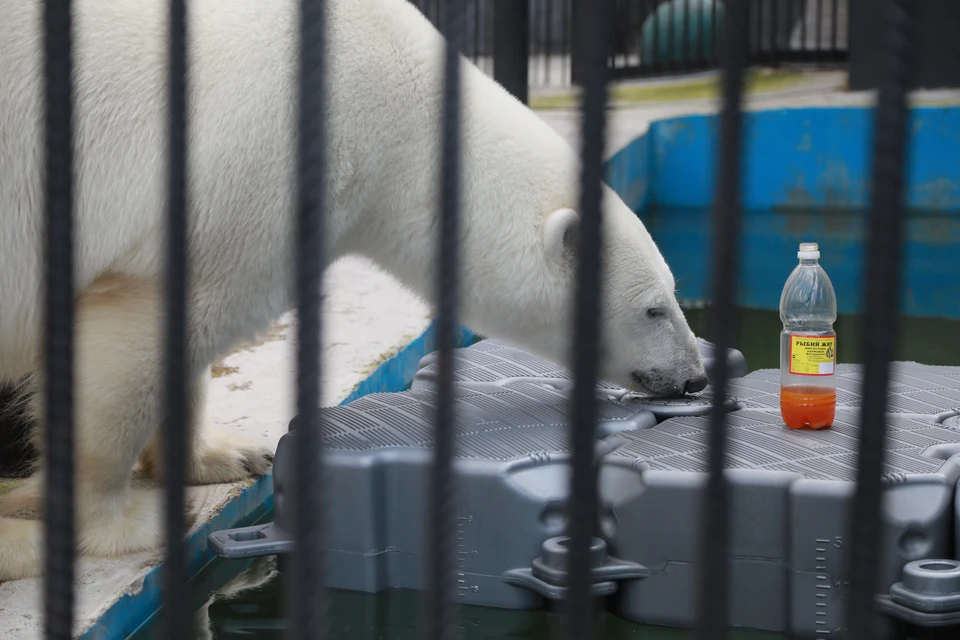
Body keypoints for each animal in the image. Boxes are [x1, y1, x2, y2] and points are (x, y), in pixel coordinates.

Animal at [0, 0, 704, 584]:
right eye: (653, 307)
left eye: (673, 292)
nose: (694, 376)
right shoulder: (256, 166)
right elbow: (137, 343)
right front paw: (121, 521)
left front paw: (228, 455)